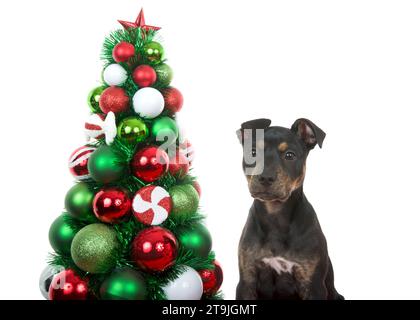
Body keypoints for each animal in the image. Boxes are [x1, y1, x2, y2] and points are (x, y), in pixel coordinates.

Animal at [235, 117, 342, 300]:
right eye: (253, 152)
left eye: (289, 155)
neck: (275, 214)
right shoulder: (247, 280)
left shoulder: (313, 285)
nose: (265, 177)